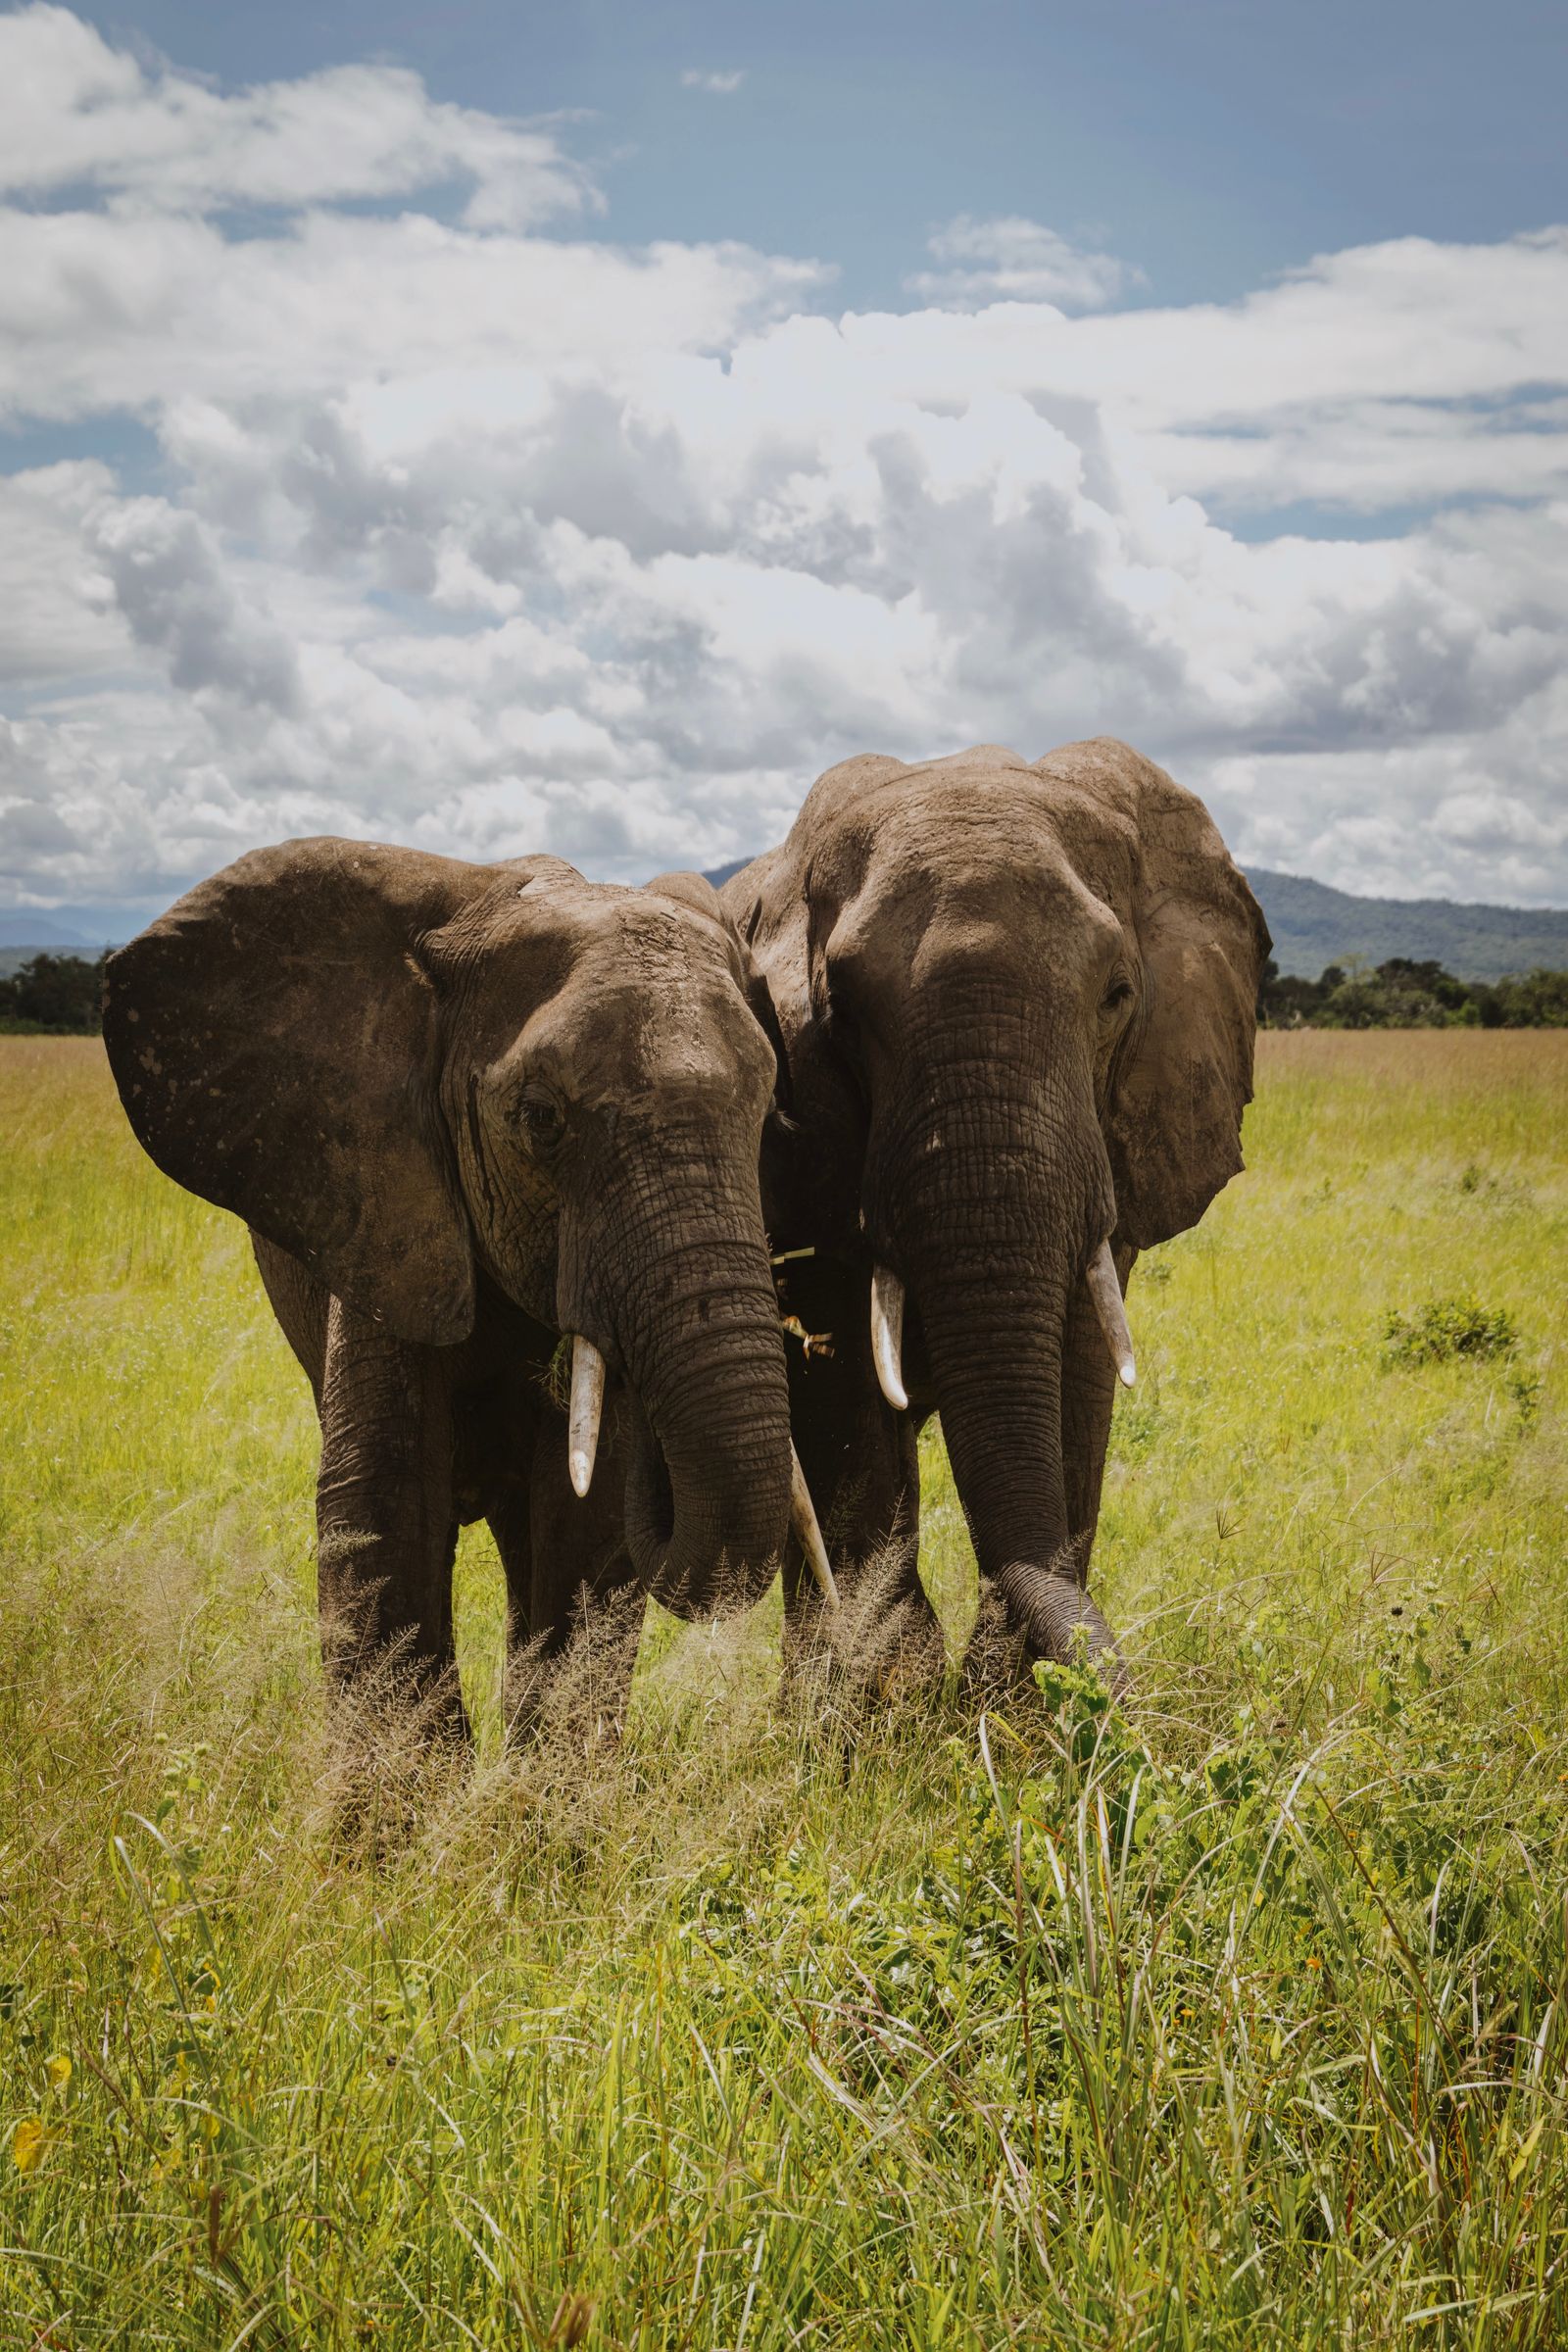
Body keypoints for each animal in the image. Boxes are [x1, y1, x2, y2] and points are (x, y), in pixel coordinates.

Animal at [103, 839, 836, 1745]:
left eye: (769, 1118)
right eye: (540, 1118)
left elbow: (582, 1529)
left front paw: (542, 1786)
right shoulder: (386, 1205)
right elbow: (381, 1509)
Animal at [722, 736, 1268, 1693]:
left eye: (1118, 994)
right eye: (841, 1014)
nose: (1127, 1701)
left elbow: (1080, 1371)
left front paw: (1016, 1700)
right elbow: (848, 1386)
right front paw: (893, 1702)